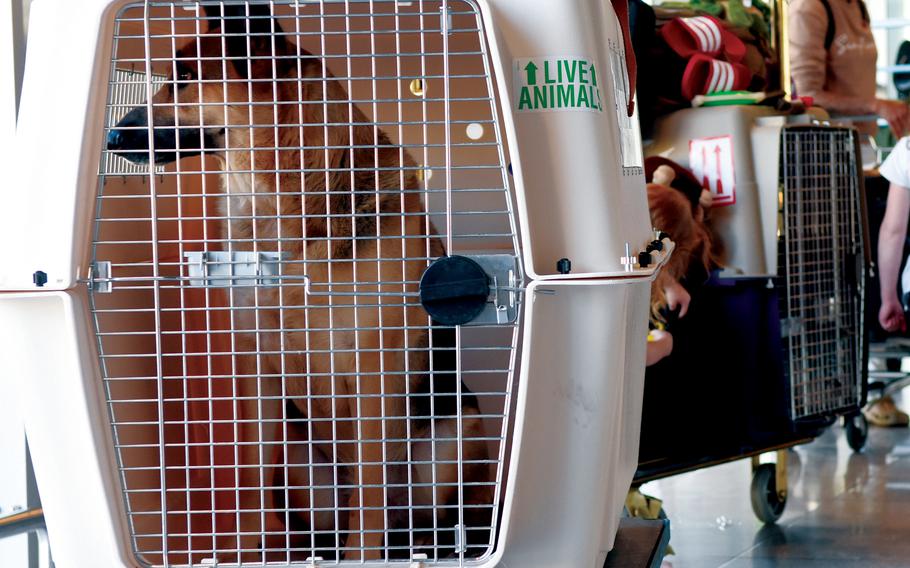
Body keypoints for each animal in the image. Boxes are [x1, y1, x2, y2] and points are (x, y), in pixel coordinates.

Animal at [95, 2, 520, 564]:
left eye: (183, 79)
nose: (110, 138)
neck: (278, 203)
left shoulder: (373, 371)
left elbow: (370, 489)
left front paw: (361, 556)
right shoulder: (257, 370)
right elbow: (251, 478)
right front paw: (247, 552)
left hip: (448, 441)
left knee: (421, 516)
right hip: (300, 470)